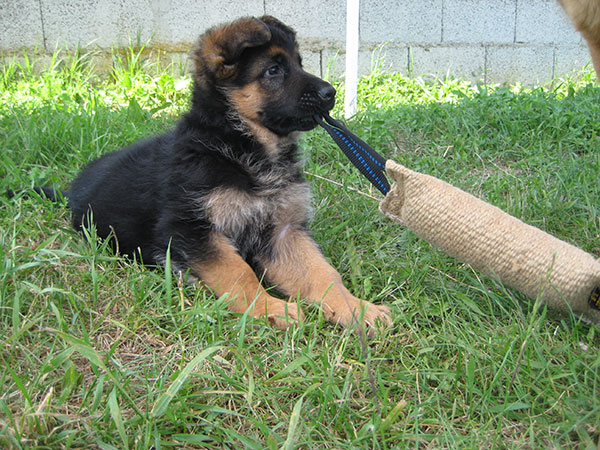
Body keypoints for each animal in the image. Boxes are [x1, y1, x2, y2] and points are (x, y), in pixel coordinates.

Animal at [42, 15, 392, 334]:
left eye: (300, 63)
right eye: (273, 70)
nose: (331, 93)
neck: (240, 147)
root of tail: (73, 192)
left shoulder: (282, 231)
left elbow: (322, 274)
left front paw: (356, 309)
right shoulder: (192, 229)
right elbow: (238, 273)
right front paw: (268, 308)